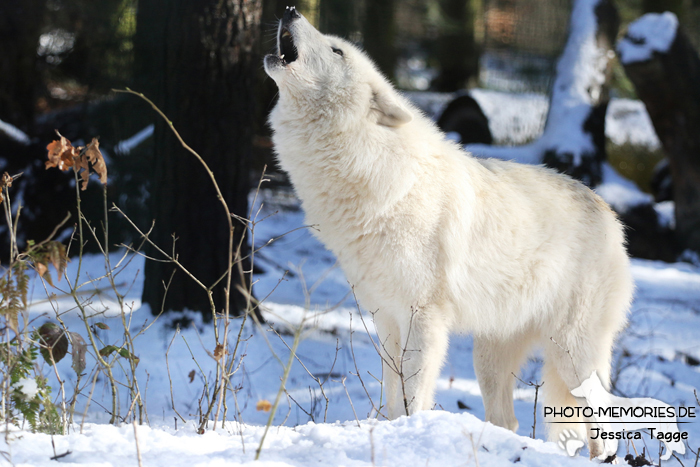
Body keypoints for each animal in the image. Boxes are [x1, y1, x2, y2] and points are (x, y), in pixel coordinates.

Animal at [264, 6, 636, 460]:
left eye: (336, 50)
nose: (290, 10)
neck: (377, 173)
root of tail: (609, 214)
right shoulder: (386, 317)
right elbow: (393, 391)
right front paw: (390, 431)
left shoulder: (424, 317)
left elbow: (414, 391)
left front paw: (408, 434)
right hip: (491, 357)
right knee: (509, 420)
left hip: (572, 353)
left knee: (605, 420)